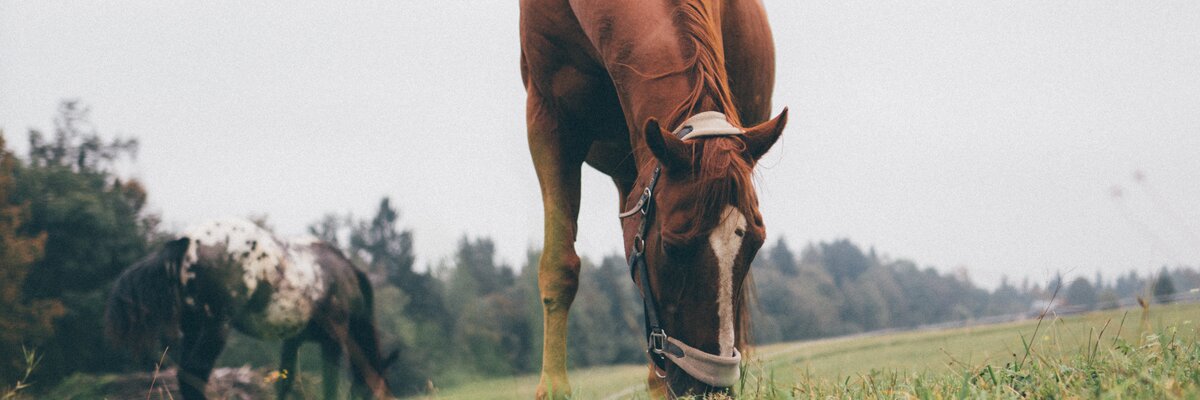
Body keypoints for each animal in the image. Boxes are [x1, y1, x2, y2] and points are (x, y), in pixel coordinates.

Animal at [103, 216, 393, 396]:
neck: (345, 277)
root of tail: (188, 242)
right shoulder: (333, 339)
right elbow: (329, 386)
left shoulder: (294, 341)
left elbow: (285, 383)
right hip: (216, 327)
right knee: (195, 373)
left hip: (193, 328)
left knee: (187, 375)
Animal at [518, 0, 787, 396]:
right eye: (672, 247)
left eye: (757, 244)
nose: (708, 391)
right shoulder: (547, 118)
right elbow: (558, 267)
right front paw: (552, 390)